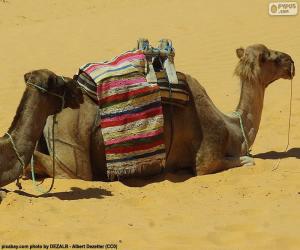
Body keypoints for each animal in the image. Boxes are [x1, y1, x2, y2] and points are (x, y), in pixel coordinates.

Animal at [29, 43, 294, 182]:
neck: (233, 128)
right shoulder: (206, 160)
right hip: (72, 149)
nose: (291, 61)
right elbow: (248, 160)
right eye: (269, 56)